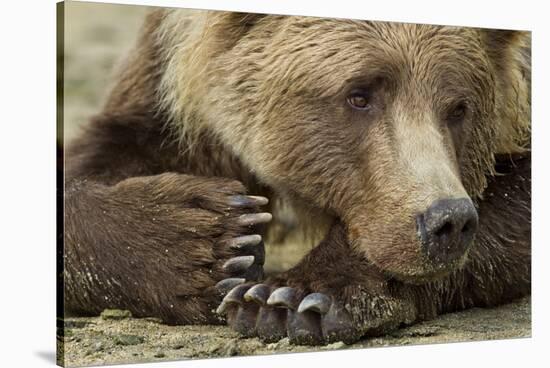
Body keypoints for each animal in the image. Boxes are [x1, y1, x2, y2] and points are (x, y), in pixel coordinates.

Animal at [62, 7, 532, 344]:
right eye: (358, 95)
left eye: (459, 107)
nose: (447, 221)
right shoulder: (164, 85)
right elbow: (99, 158)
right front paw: (209, 239)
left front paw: (291, 298)